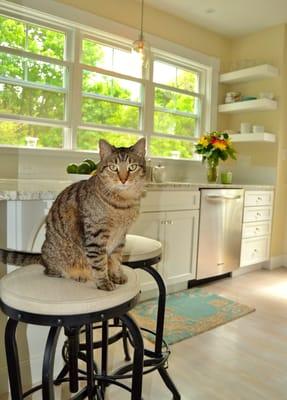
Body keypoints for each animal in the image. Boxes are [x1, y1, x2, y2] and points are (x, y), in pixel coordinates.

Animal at [0, 138, 147, 290]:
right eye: (113, 168)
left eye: (132, 167)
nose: (123, 180)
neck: (123, 201)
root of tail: (42, 257)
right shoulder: (96, 237)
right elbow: (99, 264)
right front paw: (104, 283)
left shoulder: (120, 237)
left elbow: (116, 259)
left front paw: (117, 275)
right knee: (51, 272)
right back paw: (77, 276)